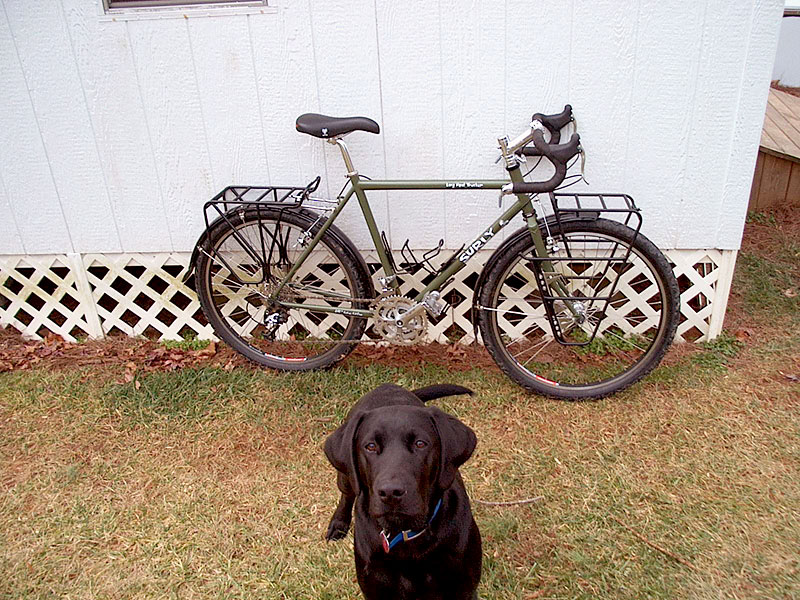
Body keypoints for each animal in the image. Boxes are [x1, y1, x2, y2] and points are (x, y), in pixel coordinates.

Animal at [322, 384, 478, 600]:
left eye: (420, 443)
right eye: (371, 446)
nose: (390, 492)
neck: (407, 536)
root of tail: (387, 386)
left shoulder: (463, 589)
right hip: (345, 477)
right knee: (347, 493)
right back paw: (338, 523)